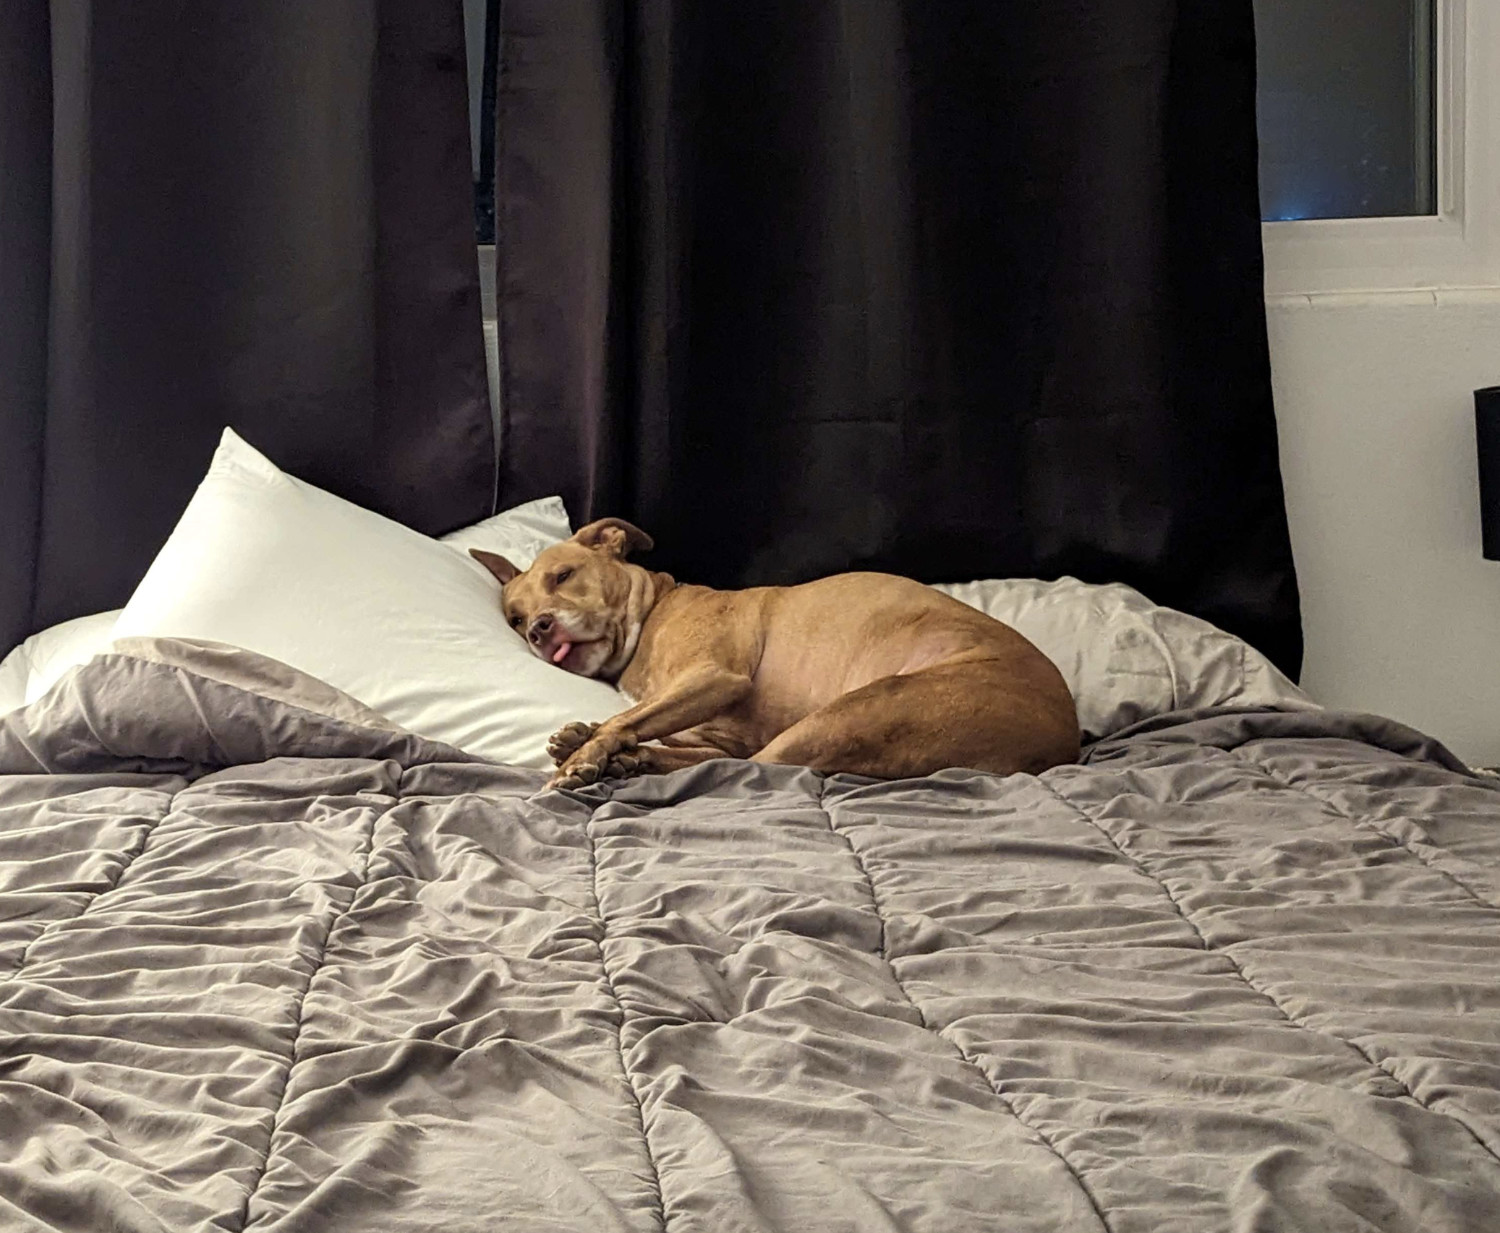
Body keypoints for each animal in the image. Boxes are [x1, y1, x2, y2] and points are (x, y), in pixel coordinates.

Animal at [471, 522, 1080, 792]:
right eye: (515, 618)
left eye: (563, 575)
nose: (539, 630)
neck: (653, 616)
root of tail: (1064, 744)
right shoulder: (709, 725)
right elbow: (656, 729)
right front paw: (586, 738)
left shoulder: (715, 677)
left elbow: (628, 720)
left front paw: (585, 754)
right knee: (734, 763)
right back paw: (631, 762)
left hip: (856, 709)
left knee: (764, 766)